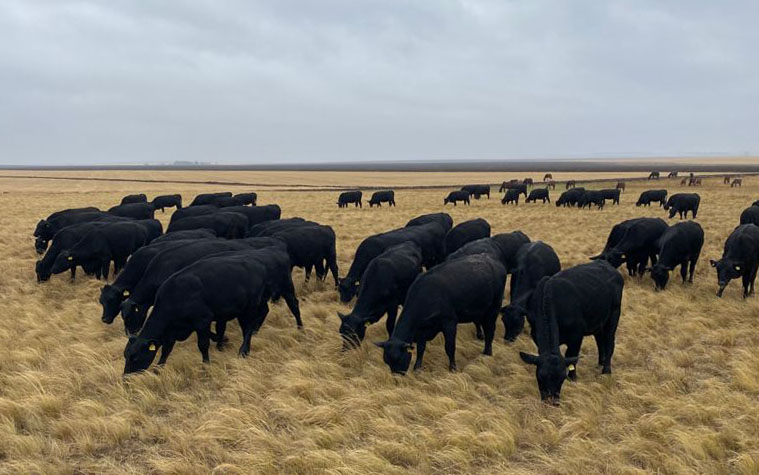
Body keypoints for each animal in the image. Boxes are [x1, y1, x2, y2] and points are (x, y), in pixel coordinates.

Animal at [376, 255, 508, 374]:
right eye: (387, 361)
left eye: (398, 359)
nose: (397, 376)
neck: (427, 297)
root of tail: (497, 263)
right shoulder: (422, 329)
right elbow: (421, 348)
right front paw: (417, 368)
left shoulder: (449, 323)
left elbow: (449, 347)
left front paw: (452, 368)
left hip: (493, 309)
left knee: (490, 331)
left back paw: (487, 352)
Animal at [520, 260, 628, 406]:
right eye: (541, 376)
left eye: (562, 378)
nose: (552, 402)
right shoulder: (535, 335)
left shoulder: (576, 336)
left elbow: (571, 356)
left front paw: (573, 378)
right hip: (599, 321)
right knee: (600, 341)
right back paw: (600, 362)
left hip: (614, 314)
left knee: (609, 342)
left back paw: (606, 371)